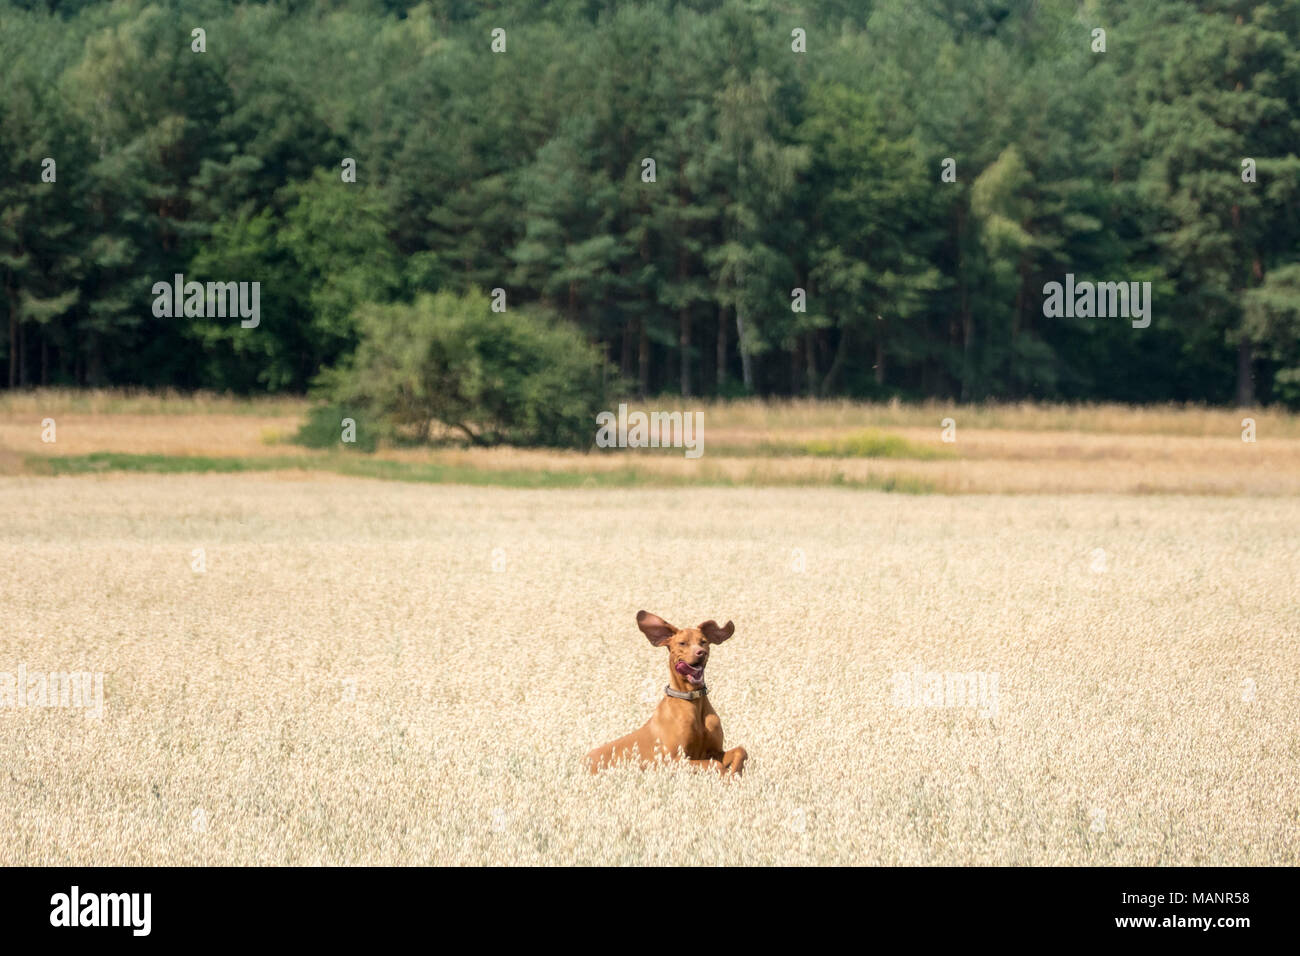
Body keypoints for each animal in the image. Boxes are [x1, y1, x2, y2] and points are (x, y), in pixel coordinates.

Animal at [585, 613, 748, 780]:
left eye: (703, 642)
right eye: (682, 643)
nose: (701, 653)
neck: (693, 702)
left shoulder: (714, 751)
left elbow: (741, 750)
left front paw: (735, 773)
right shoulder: (672, 760)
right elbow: (716, 765)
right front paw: (726, 778)